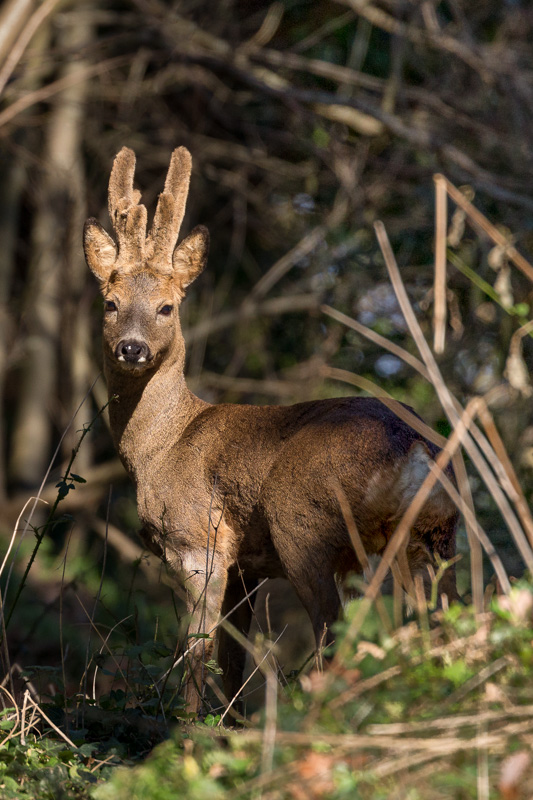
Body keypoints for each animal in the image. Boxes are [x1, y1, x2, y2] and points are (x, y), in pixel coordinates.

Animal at [84, 144, 458, 712]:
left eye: (167, 307)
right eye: (111, 302)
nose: (132, 347)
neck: (161, 446)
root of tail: (412, 449)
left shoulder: (202, 541)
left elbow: (196, 649)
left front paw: (186, 724)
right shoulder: (246, 566)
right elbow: (232, 657)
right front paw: (229, 721)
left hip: (304, 526)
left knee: (333, 631)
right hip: (435, 539)